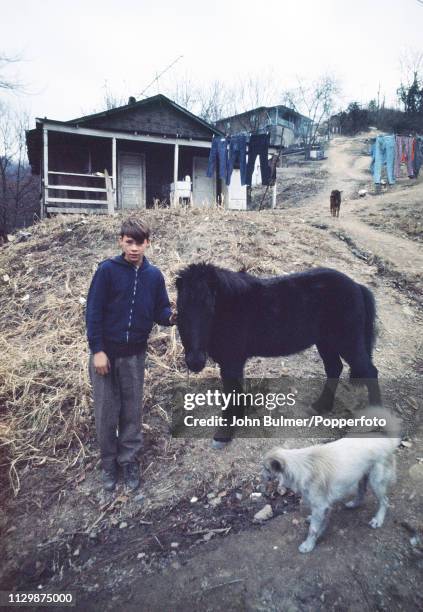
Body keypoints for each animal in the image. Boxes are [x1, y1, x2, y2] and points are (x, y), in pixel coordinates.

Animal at [177, 262, 382, 444]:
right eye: (180, 309)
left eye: (211, 308)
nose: (195, 361)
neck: (230, 310)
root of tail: (357, 287)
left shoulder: (232, 362)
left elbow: (231, 394)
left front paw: (224, 433)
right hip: (326, 342)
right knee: (334, 368)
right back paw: (320, 406)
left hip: (348, 342)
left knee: (370, 371)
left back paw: (376, 422)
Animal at [262, 406, 400, 556]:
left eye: (266, 469)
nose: (262, 478)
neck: (302, 465)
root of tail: (387, 440)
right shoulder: (323, 506)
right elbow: (320, 523)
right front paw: (316, 531)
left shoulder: (320, 505)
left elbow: (313, 529)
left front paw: (308, 545)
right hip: (361, 476)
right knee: (362, 491)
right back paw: (354, 504)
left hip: (376, 482)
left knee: (384, 501)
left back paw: (378, 520)